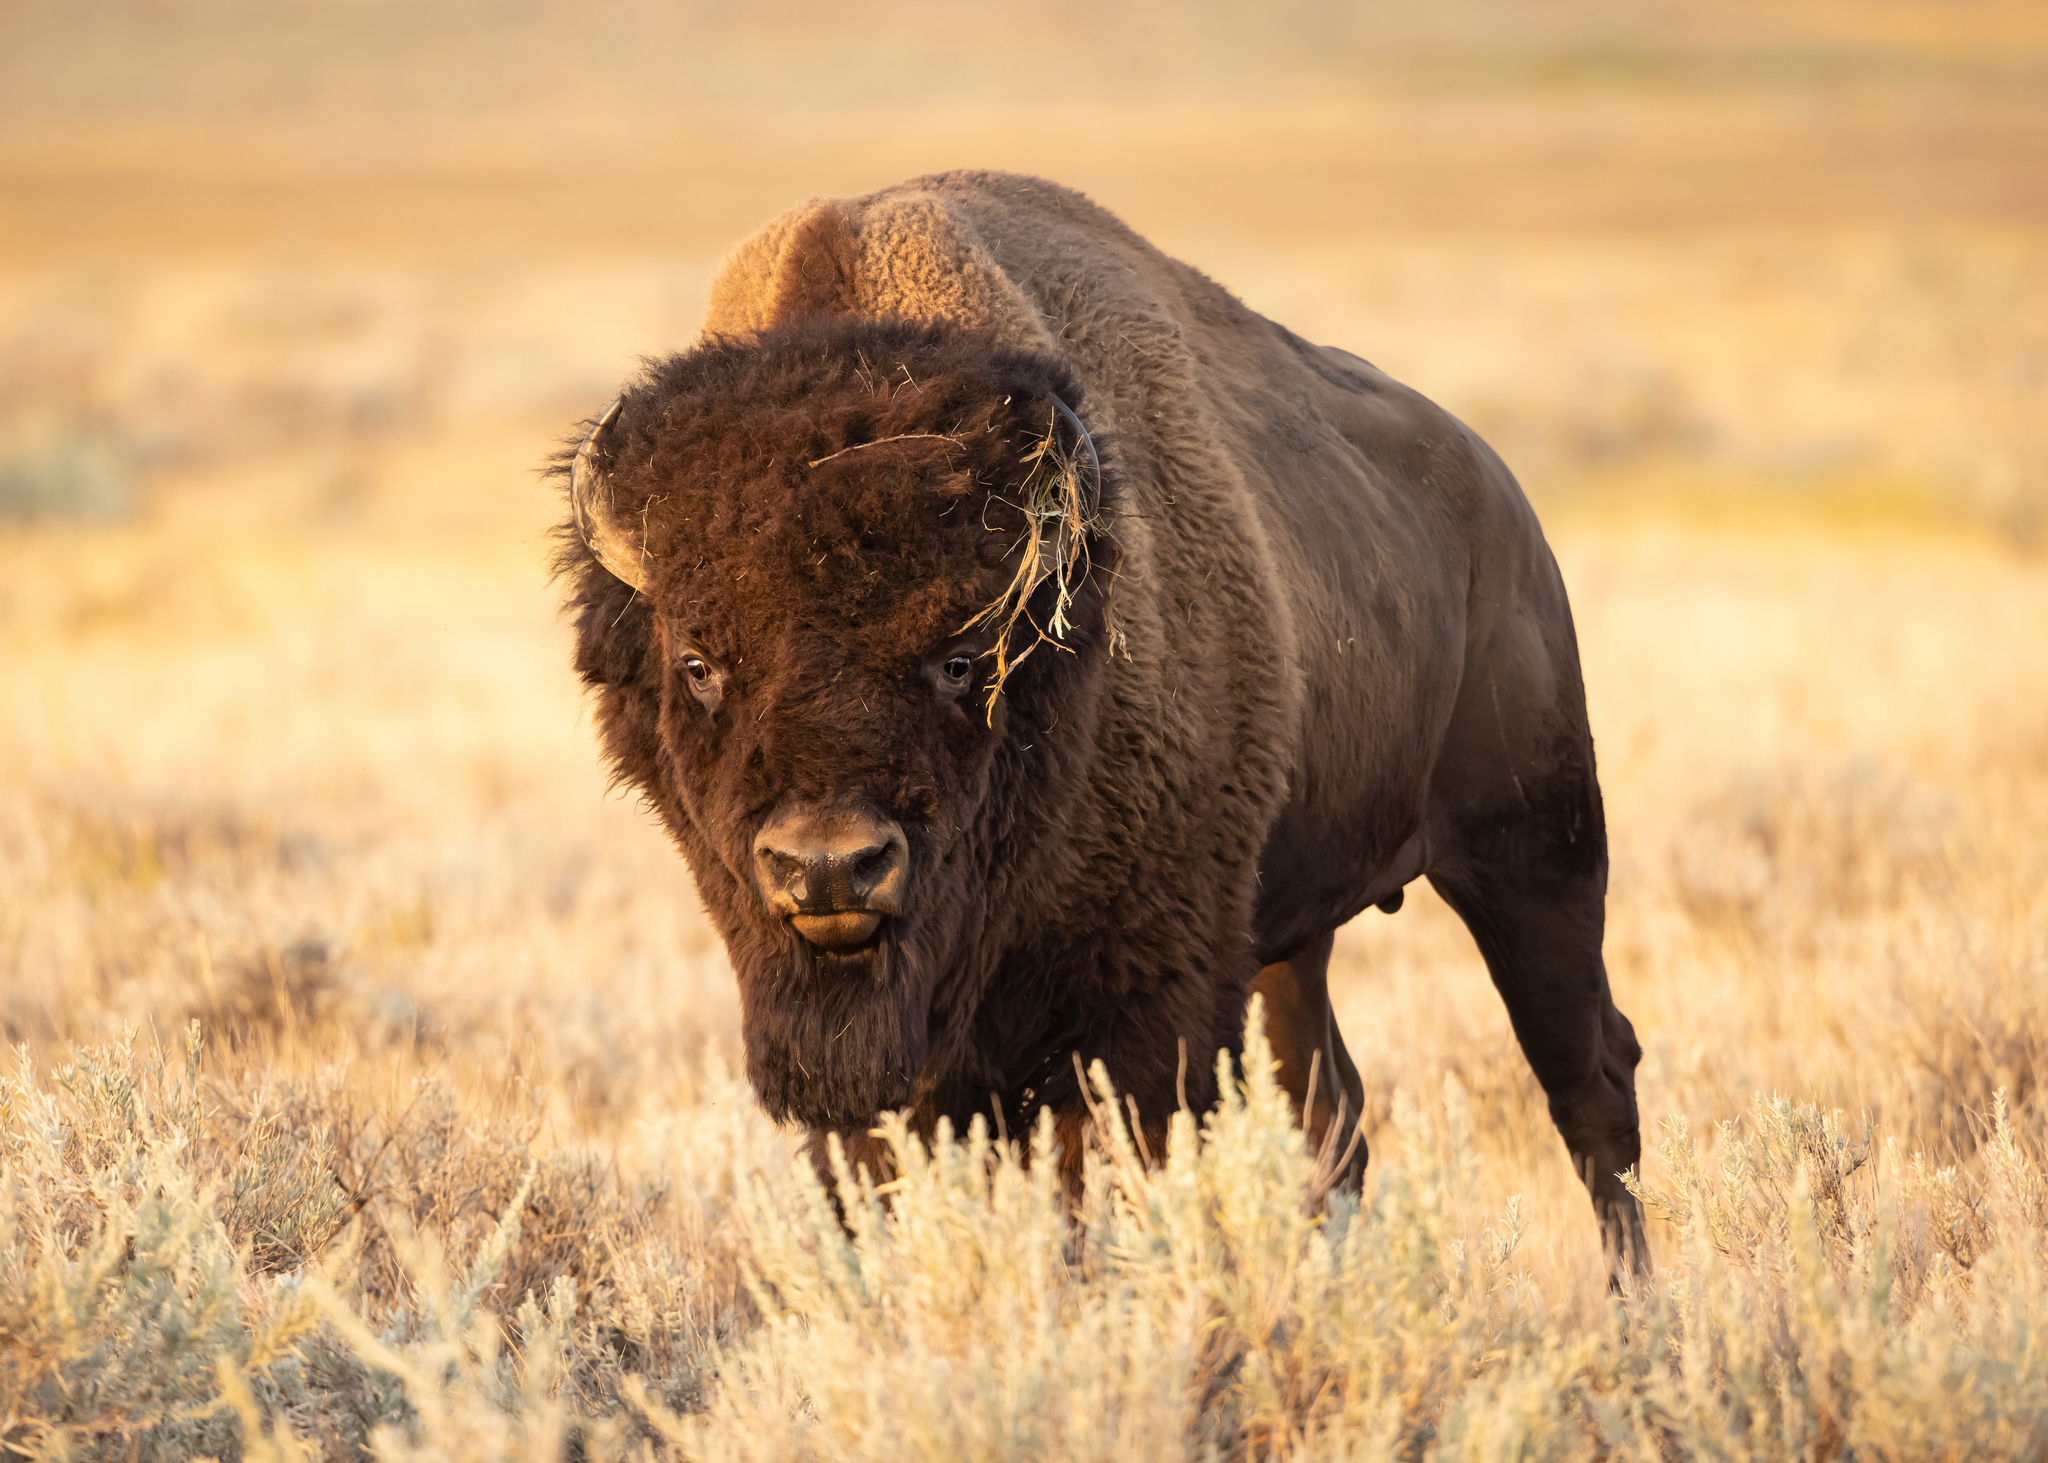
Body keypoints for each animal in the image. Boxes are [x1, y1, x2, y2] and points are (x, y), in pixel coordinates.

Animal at [554, 170, 1648, 1276]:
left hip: (1533, 853)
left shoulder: (1128, 1019)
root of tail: (1503, 503)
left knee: (1590, 1079)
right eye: (698, 662)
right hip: (1293, 937)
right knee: (1331, 1112)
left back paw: (1633, 1304)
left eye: (963, 657)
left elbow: (1093, 1200)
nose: (829, 868)